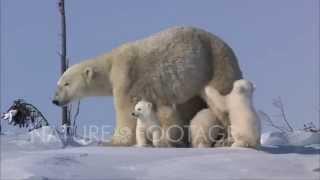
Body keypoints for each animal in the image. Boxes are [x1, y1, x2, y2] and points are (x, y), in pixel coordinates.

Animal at [52, 26, 242, 146]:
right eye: (58, 84)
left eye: (66, 83)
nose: (55, 100)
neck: (111, 63)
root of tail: (229, 48)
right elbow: (165, 110)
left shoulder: (126, 76)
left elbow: (125, 109)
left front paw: (114, 141)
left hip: (215, 64)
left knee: (222, 99)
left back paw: (227, 139)